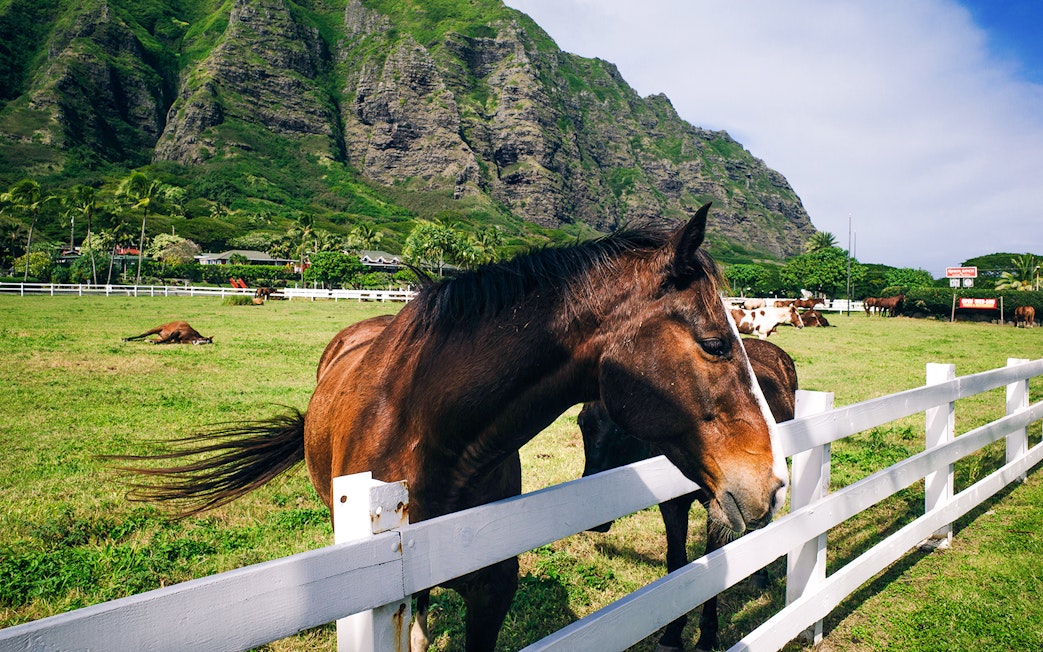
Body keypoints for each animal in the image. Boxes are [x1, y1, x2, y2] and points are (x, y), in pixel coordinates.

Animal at [579, 337, 797, 652]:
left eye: (622, 432)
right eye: (582, 423)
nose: (596, 521)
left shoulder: (721, 510)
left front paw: (706, 636)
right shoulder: (672, 506)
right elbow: (677, 562)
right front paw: (672, 635)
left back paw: (759, 576)